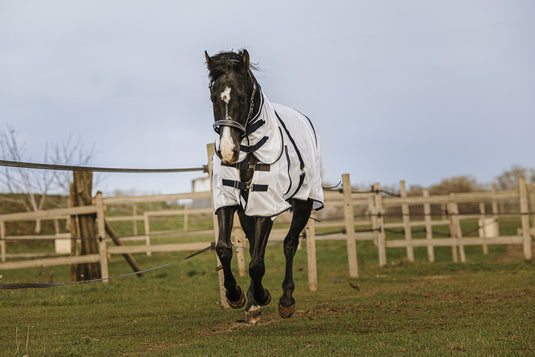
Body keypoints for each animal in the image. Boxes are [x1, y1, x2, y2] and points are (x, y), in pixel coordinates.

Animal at [204, 48, 322, 324]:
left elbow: (257, 262)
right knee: (253, 245)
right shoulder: (229, 199)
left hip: (304, 203)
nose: (228, 152)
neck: (249, 151)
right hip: (248, 211)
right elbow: (225, 249)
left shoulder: (266, 203)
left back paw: (286, 300)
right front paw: (236, 296)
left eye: (242, 97)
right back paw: (252, 303)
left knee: (290, 244)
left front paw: (263, 295)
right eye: (213, 98)